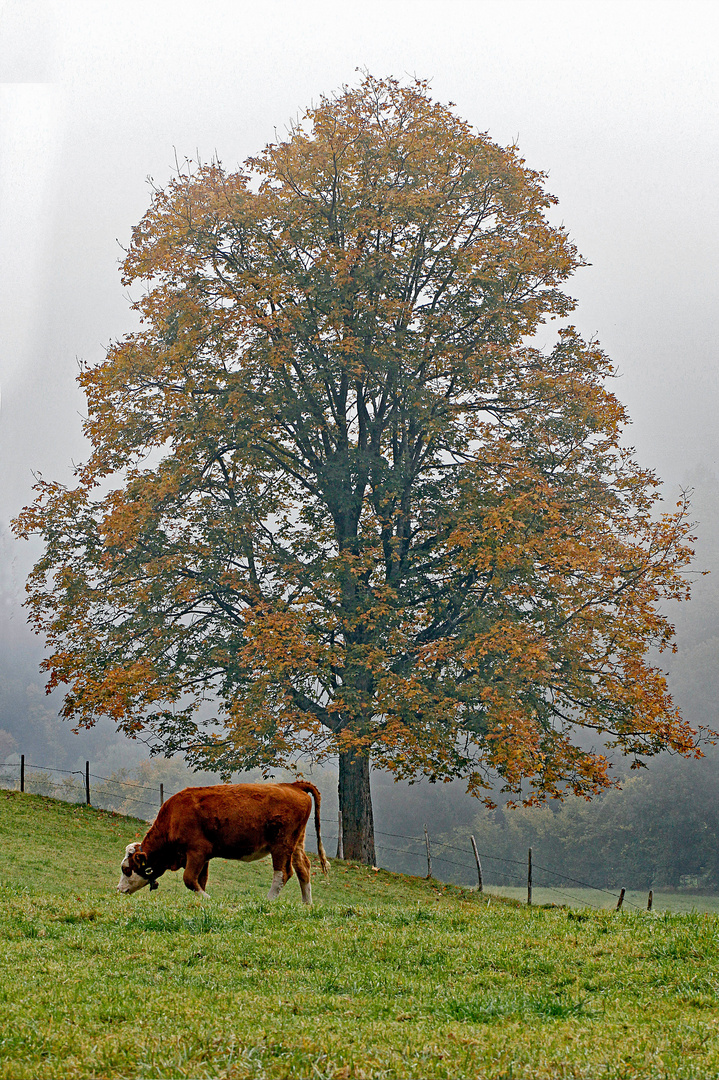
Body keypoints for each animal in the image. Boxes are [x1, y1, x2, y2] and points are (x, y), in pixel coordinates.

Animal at [117, 781, 328, 907]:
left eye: (126, 869)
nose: (119, 889)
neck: (173, 817)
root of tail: (292, 785)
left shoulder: (197, 852)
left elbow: (189, 879)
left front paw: (209, 900)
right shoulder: (202, 858)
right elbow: (200, 881)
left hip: (281, 845)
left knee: (283, 873)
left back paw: (267, 901)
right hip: (296, 843)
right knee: (303, 869)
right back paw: (307, 904)